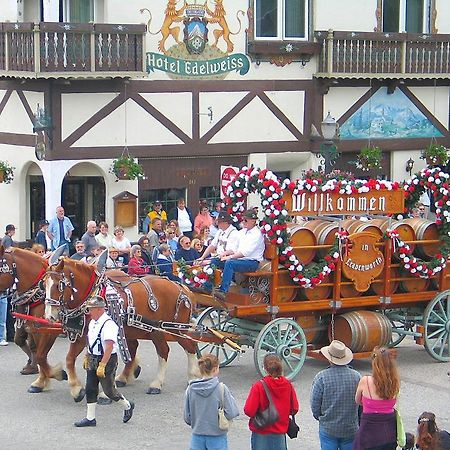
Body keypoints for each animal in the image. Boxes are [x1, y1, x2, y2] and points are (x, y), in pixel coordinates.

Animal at [0, 244, 85, 400]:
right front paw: (40, 382)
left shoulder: (48, 331)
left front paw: (57, 373)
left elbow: (40, 356)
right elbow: (38, 355)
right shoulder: (34, 330)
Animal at [44, 253, 200, 394]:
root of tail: (180, 287)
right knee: (163, 350)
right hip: (154, 330)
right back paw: (145, 381)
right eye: (43, 284)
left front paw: (104, 393)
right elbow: (69, 359)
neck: (93, 296)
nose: (49, 316)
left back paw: (189, 377)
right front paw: (76, 389)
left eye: (58, 285)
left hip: (175, 329)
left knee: (189, 346)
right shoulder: (82, 336)